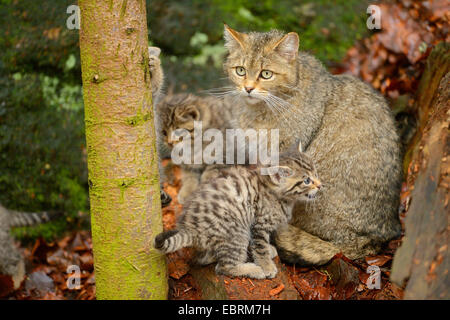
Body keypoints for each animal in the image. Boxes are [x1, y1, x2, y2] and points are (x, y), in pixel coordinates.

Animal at [153, 144, 322, 278]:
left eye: (316, 172)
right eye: (307, 181)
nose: (320, 185)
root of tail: (190, 229)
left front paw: (269, 251)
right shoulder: (259, 224)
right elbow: (260, 246)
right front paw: (266, 265)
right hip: (237, 232)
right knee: (224, 267)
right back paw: (253, 270)